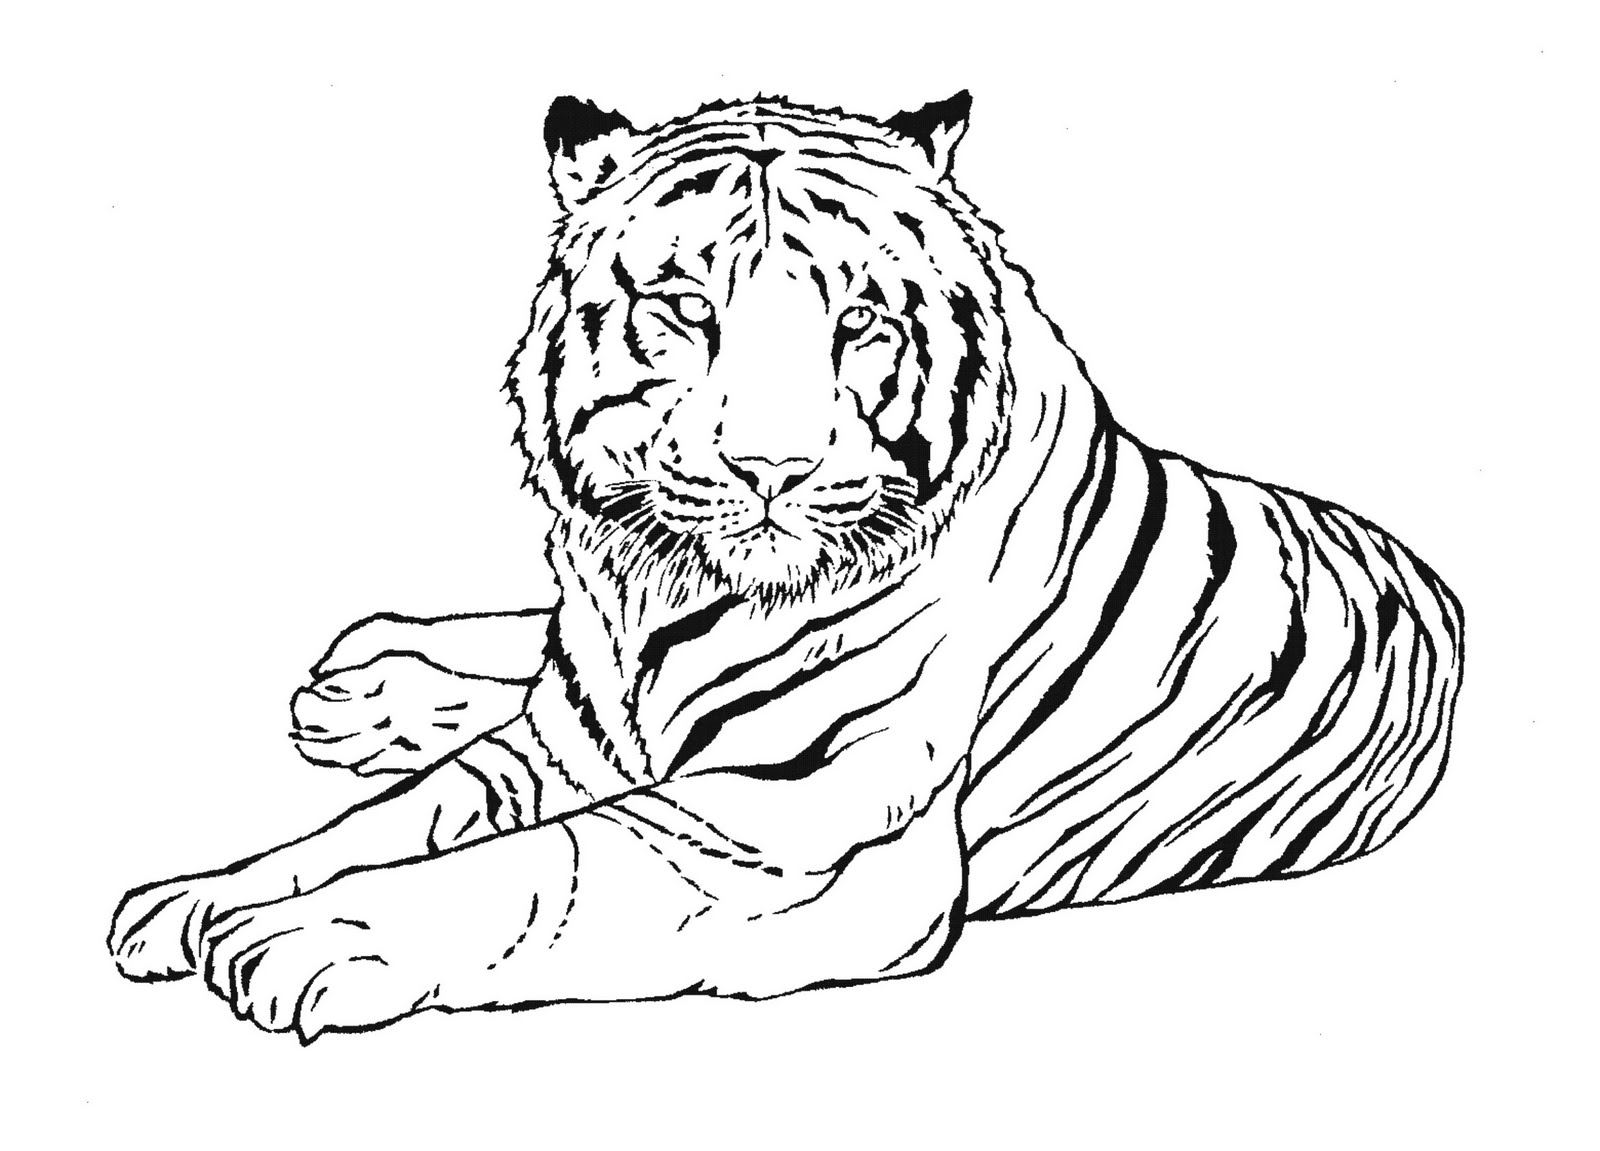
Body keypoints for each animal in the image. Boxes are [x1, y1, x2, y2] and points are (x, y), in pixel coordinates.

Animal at [108, 93, 1465, 1043]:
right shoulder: (556, 741)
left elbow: (543, 865)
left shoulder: (796, 825)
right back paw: (362, 681)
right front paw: (202, 894)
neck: (654, 592)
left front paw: (306, 935)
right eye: (683, 309)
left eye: (857, 322)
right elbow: (387, 817)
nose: (770, 464)